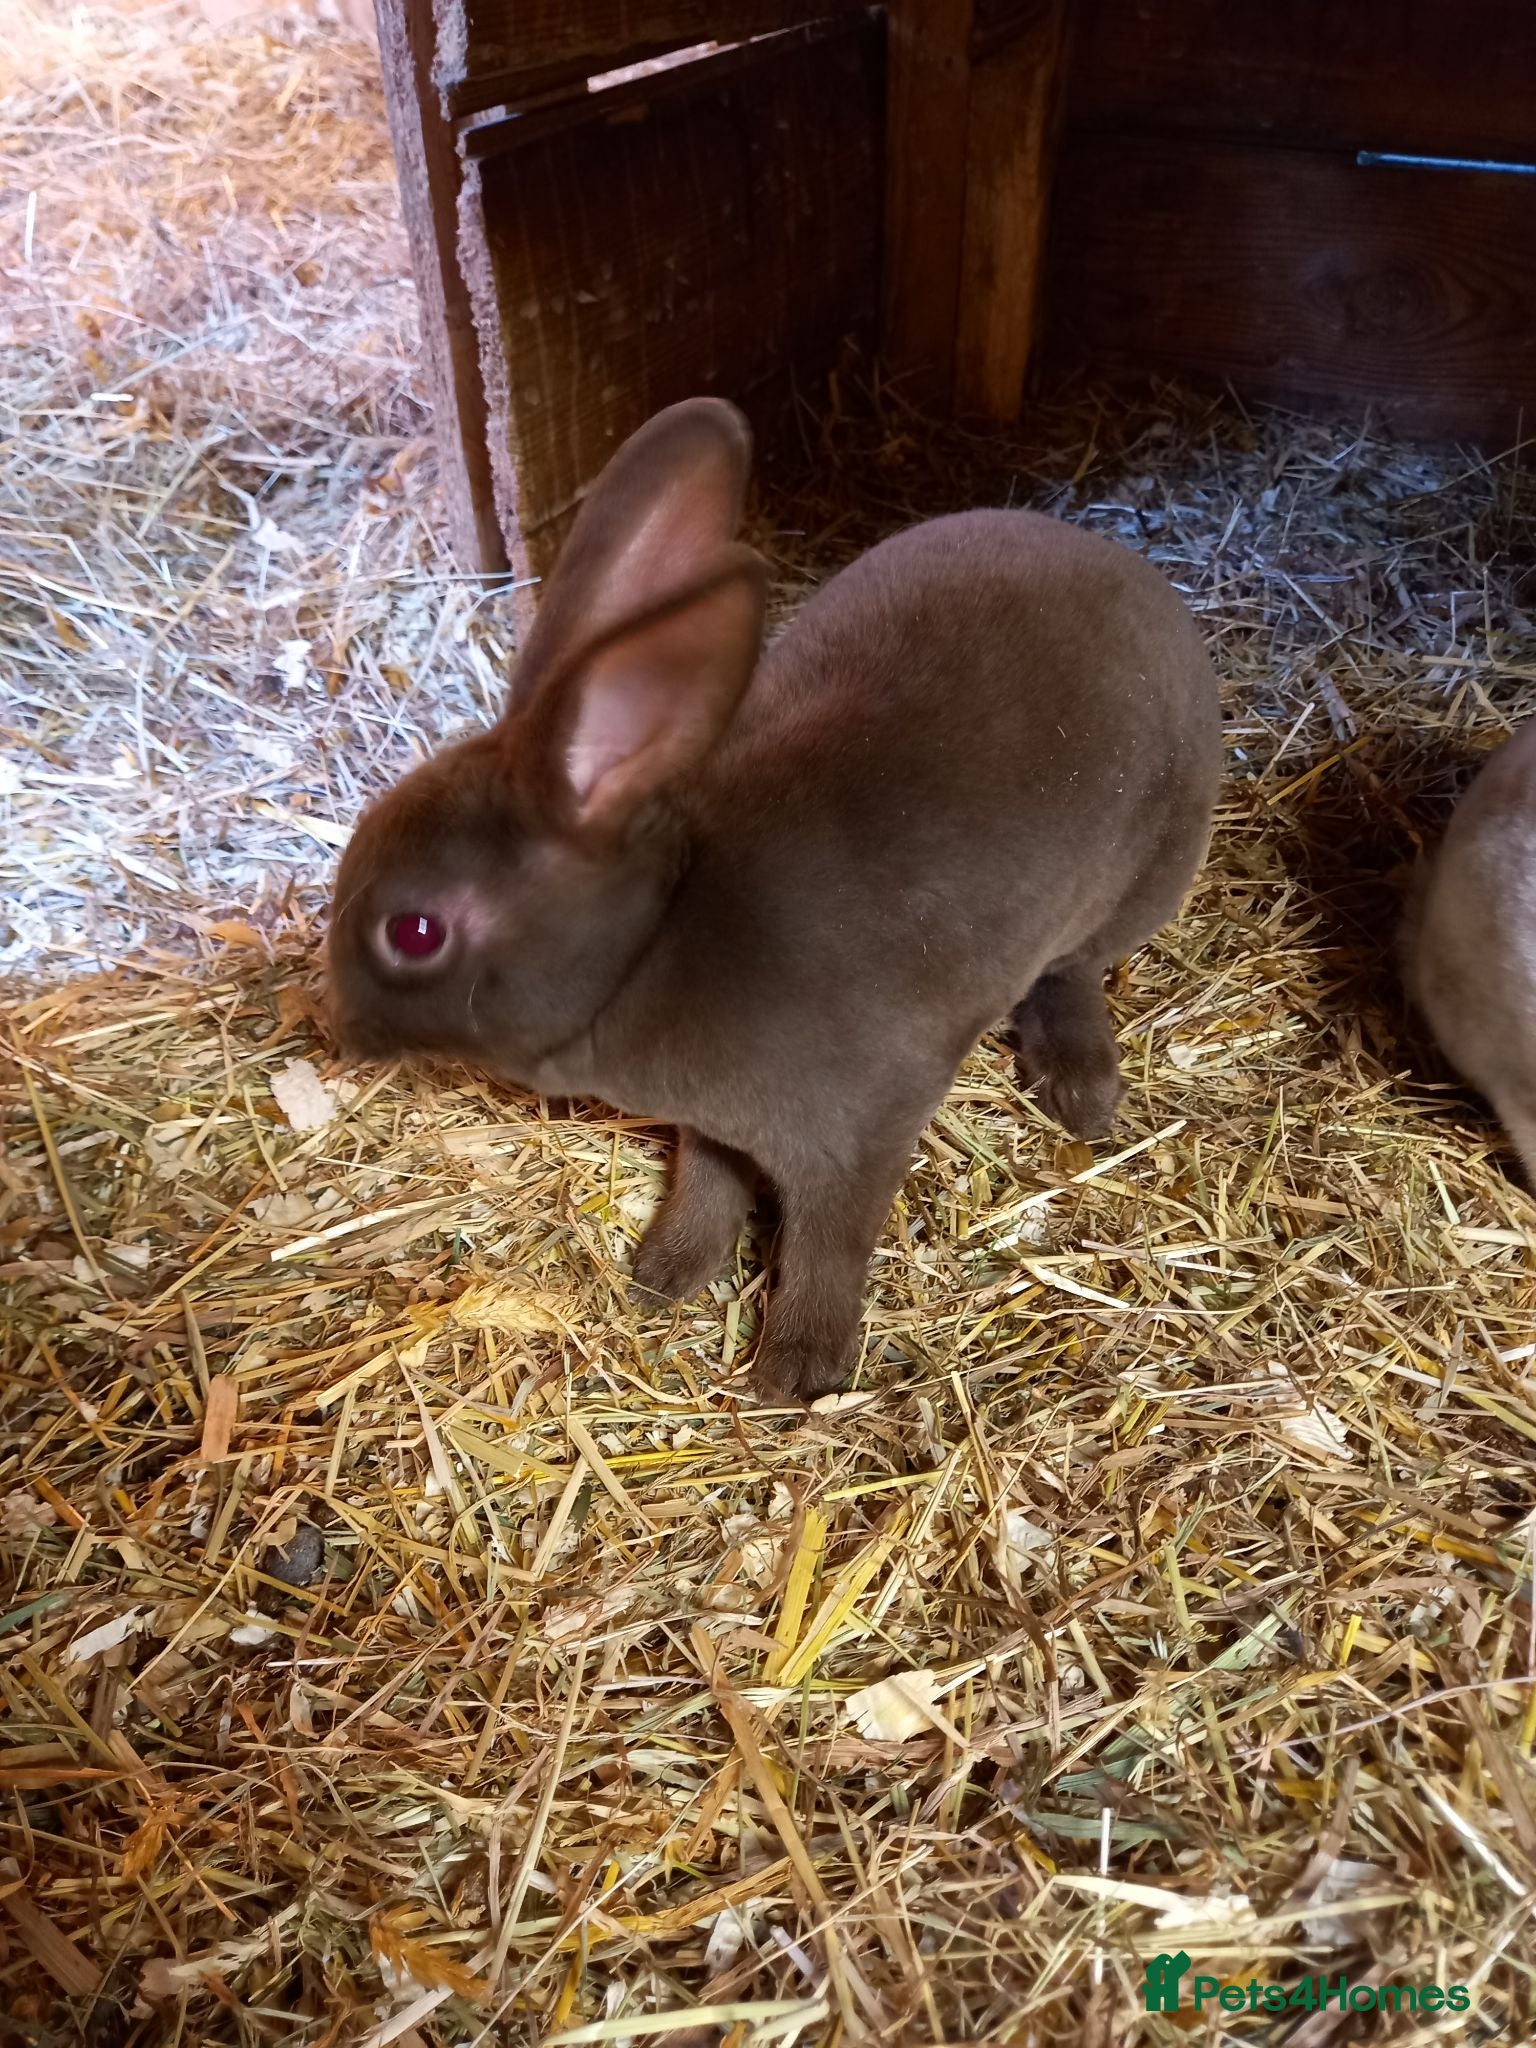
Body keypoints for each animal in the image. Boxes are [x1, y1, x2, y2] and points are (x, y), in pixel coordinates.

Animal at [326, 397, 1222, 1404]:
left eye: (414, 932)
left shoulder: (862, 1137)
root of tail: (1134, 575)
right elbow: (707, 1180)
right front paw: (666, 1274)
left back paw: (1079, 1088)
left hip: (1149, 868)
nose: (338, 1027)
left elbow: (829, 1244)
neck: (653, 941)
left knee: (1076, 967)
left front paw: (798, 1369)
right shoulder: (716, 1128)